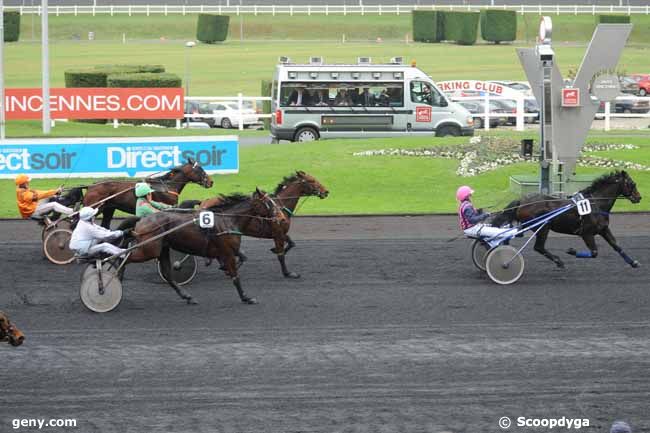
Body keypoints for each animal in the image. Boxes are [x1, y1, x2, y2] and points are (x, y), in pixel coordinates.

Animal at [63, 157, 211, 228]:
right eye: (200, 169)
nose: (211, 182)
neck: (166, 186)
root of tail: (91, 186)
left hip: (108, 208)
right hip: (94, 207)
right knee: (75, 224)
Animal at [125, 188, 282, 304]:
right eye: (269, 203)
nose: (281, 217)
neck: (228, 219)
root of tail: (141, 220)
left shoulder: (228, 251)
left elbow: (241, 259)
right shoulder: (228, 252)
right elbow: (235, 276)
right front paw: (246, 297)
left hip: (161, 249)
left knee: (168, 275)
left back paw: (188, 297)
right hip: (148, 250)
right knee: (124, 259)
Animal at [181, 170, 330, 278]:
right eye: (312, 181)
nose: (326, 192)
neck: (280, 206)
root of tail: (204, 202)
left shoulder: (281, 232)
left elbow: (291, 244)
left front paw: (274, 250)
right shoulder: (278, 234)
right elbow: (281, 255)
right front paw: (287, 273)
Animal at [492, 170, 636, 268]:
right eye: (632, 184)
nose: (638, 197)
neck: (596, 204)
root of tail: (522, 201)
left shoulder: (603, 229)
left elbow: (616, 246)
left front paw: (633, 262)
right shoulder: (586, 233)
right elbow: (594, 252)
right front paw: (571, 251)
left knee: (509, 238)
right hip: (543, 227)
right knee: (538, 247)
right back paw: (558, 261)